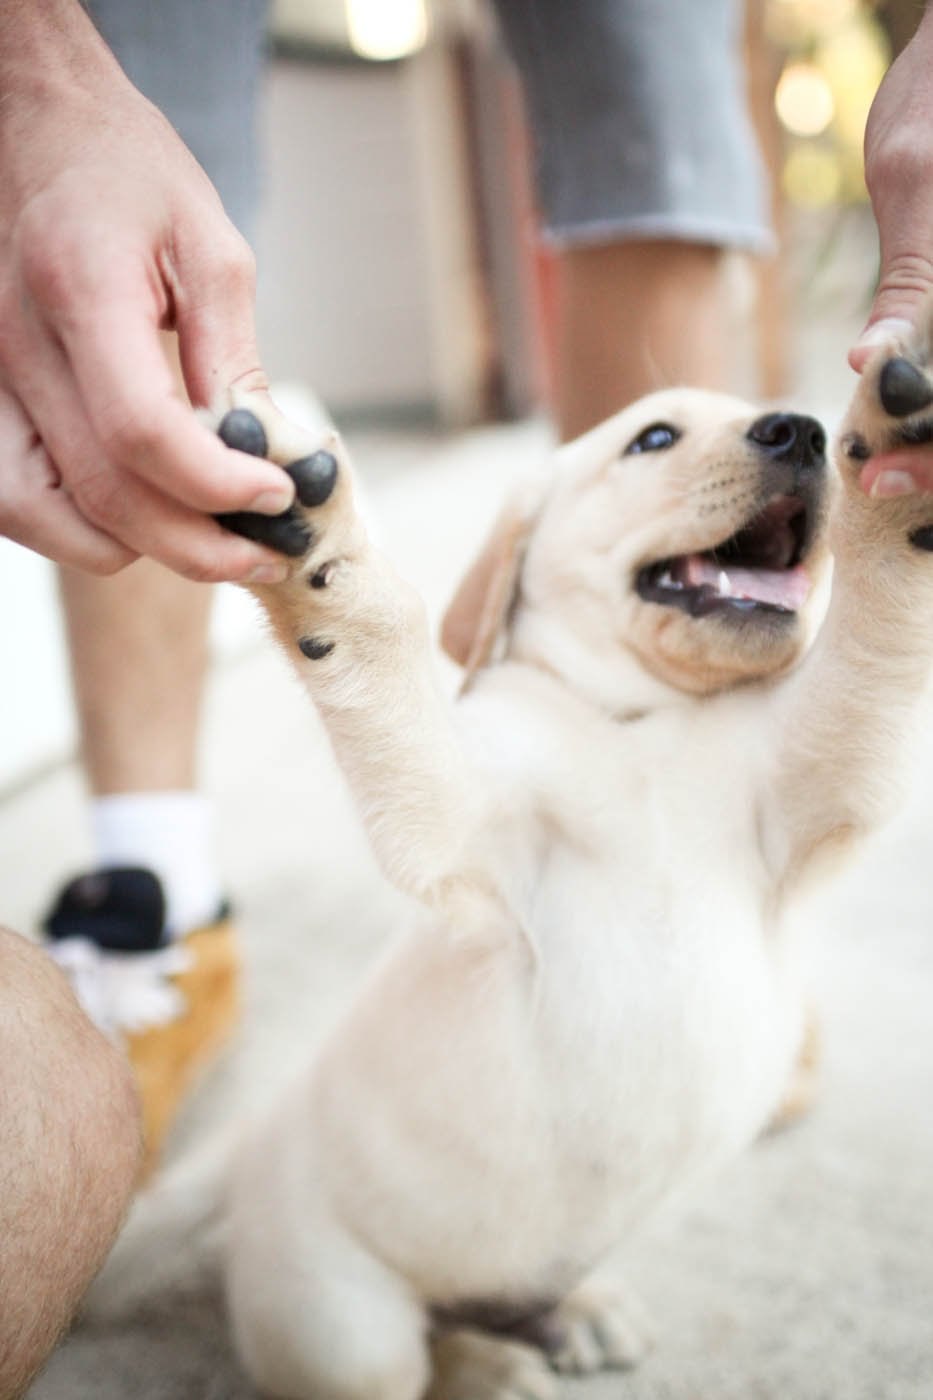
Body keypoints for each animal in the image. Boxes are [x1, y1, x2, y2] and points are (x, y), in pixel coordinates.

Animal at [214, 330, 930, 1400]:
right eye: (655, 438)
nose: (801, 432)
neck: (636, 723)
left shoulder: (818, 780)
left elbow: (878, 632)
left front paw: (896, 467)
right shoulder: (459, 829)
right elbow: (387, 678)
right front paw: (318, 549)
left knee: (495, 1298)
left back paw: (573, 1312)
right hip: (340, 1323)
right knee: (409, 1360)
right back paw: (488, 1368)